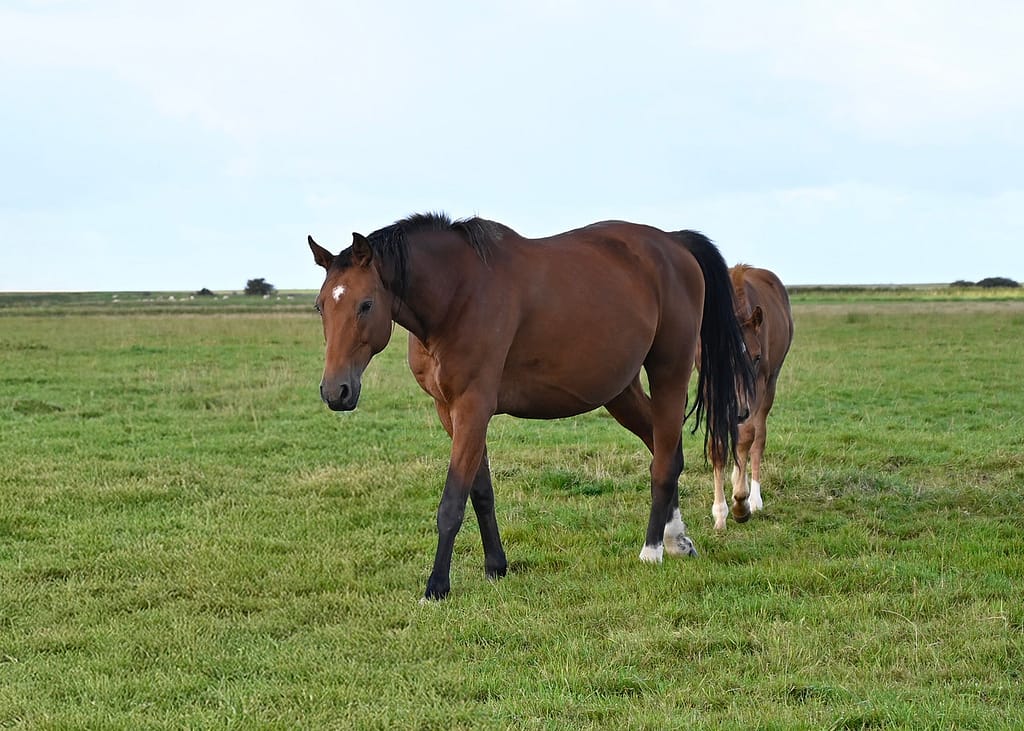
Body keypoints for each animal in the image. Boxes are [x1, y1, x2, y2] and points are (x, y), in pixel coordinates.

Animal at [308, 213, 753, 600]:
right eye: (320, 305)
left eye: (366, 304)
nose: (335, 391)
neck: (458, 295)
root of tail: (674, 243)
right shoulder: (450, 411)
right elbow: (480, 491)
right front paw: (496, 566)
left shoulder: (473, 407)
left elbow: (452, 502)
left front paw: (436, 586)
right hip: (620, 391)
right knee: (666, 451)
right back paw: (676, 539)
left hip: (669, 373)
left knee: (662, 461)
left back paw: (653, 549)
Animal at [708, 264, 793, 531]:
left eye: (756, 357)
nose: (739, 411)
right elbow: (718, 443)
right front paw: (719, 512)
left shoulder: (758, 384)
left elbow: (747, 436)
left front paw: (739, 504)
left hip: (769, 385)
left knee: (757, 437)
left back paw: (753, 497)